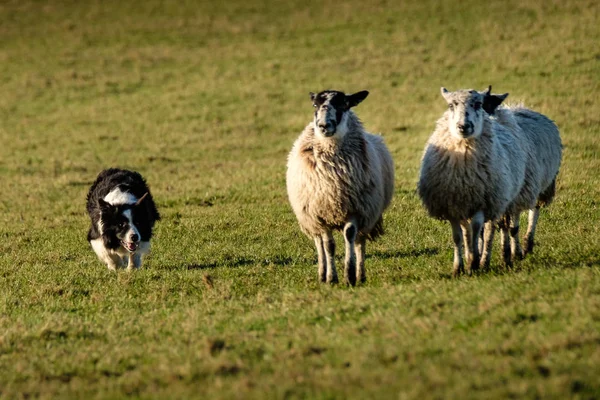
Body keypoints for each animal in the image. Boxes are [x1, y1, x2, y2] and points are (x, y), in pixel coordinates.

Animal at [286, 89, 394, 286]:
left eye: (343, 104)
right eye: (315, 105)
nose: (323, 125)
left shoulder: (356, 209)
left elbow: (350, 236)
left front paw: (350, 275)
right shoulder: (320, 213)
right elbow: (328, 245)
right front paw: (331, 277)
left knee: (359, 241)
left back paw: (360, 275)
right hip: (309, 216)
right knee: (319, 242)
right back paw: (322, 273)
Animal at [418, 86, 524, 276]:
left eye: (478, 104)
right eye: (451, 105)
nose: (463, 126)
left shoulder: (480, 204)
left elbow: (476, 231)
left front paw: (474, 262)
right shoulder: (451, 207)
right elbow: (459, 236)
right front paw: (459, 267)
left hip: (498, 201)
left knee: (490, 231)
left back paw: (487, 260)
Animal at [478, 88, 564, 268]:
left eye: (487, 105)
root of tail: (524, 108)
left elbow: (508, 227)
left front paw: (507, 255)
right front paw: (486, 255)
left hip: (540, 186)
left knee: (532, 213)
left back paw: (525, 246)